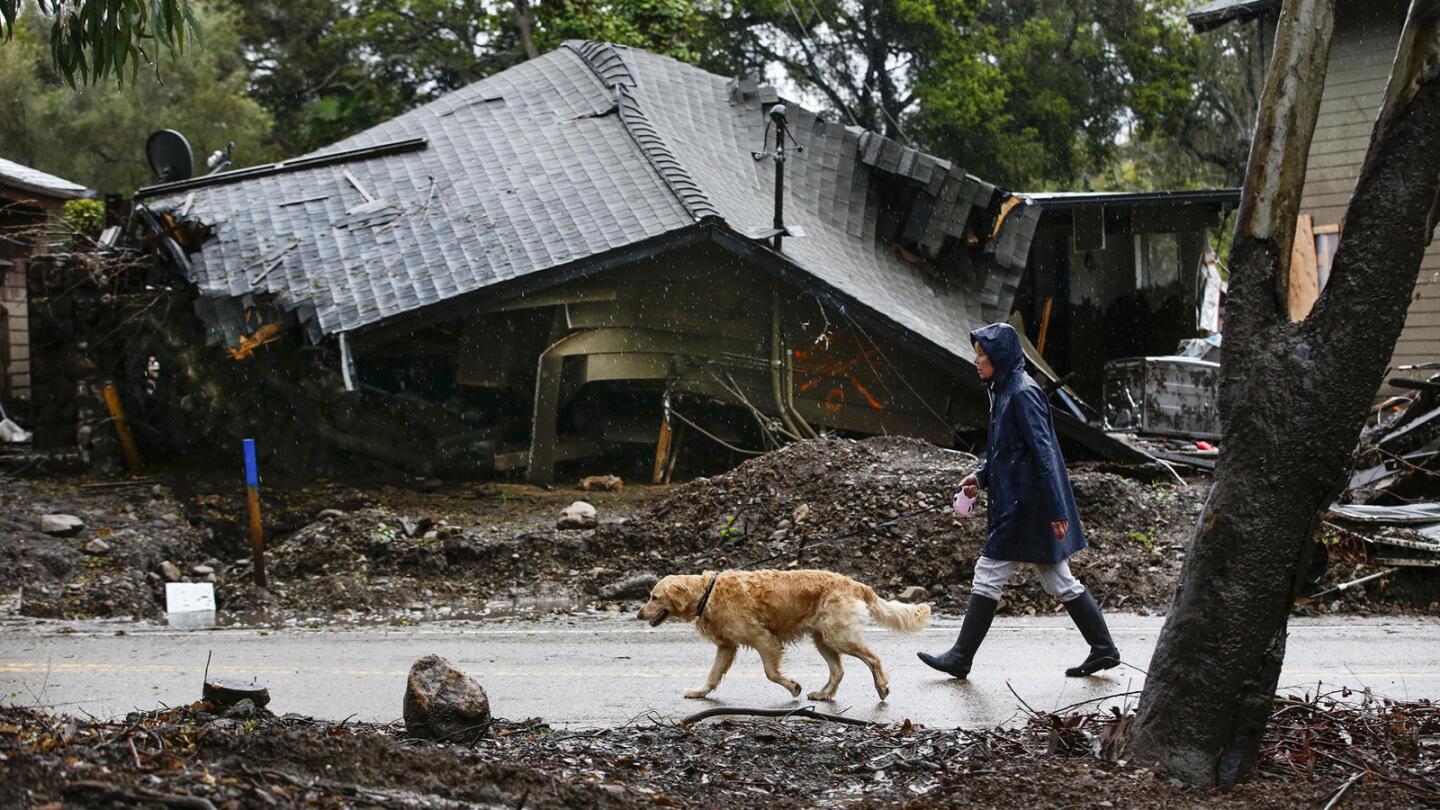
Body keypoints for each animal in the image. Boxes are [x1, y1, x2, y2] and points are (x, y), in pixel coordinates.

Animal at [636, 567, 927, 700]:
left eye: (654, 597)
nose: (638, 614)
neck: (707, 593)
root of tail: (855, 583)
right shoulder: (726, 646)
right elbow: (713, 675)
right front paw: (700, 692)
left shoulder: (764, 639)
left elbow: (771, 673)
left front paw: (792, 686)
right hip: (822, 638)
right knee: (838, 670)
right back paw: (823, 694)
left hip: (839, 636)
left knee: (874, 659)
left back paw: (882, 687)